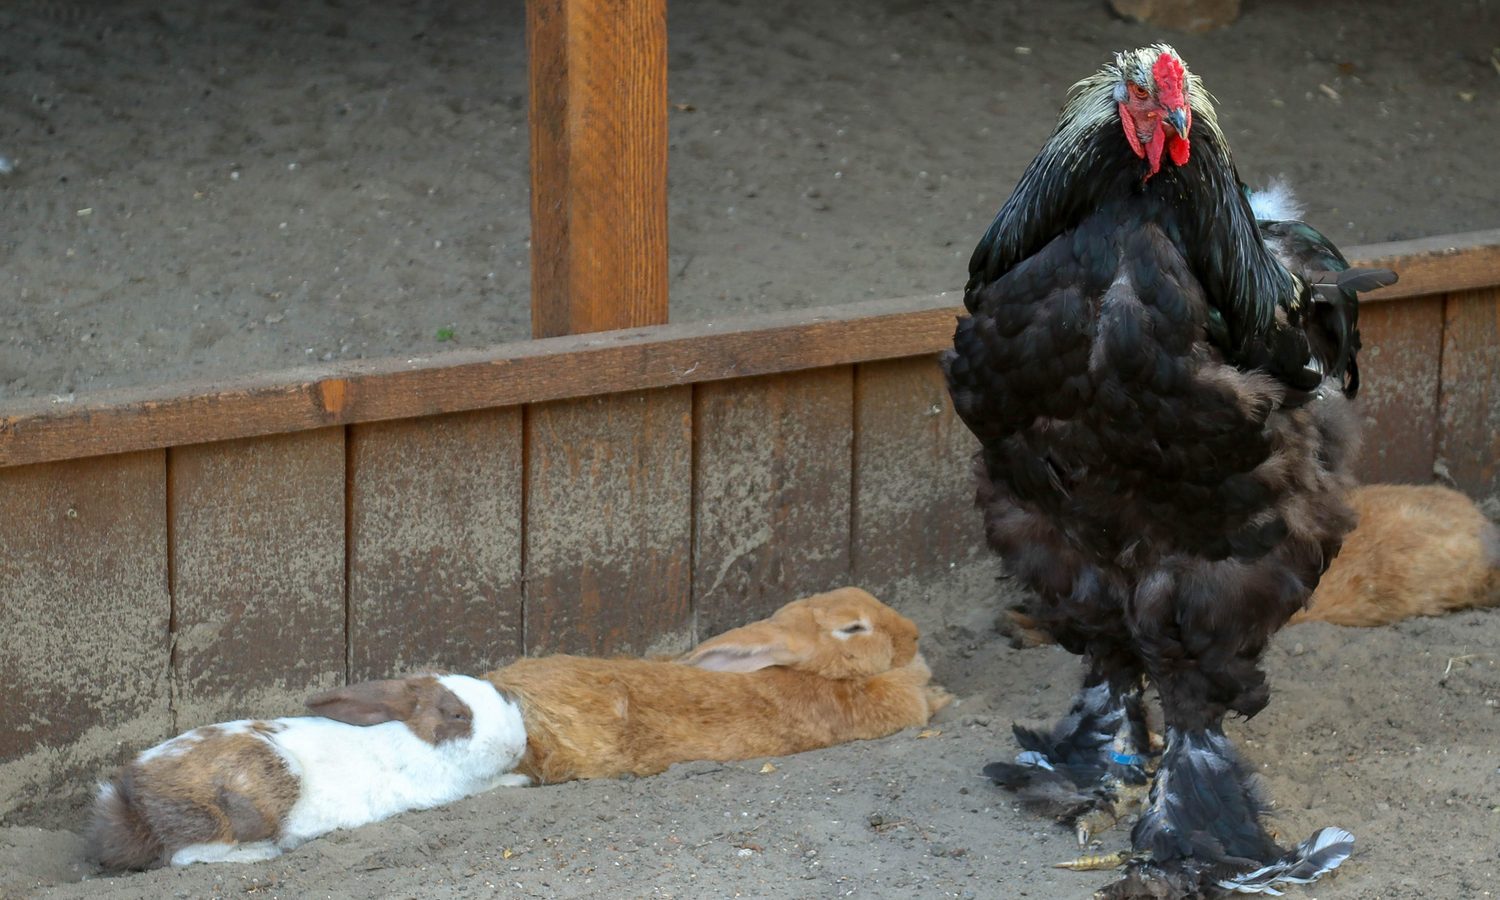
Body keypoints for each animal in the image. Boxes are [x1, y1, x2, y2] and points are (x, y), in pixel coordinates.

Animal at [92, 675, 528, 870]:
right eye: (457, 715)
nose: (517, 745)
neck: (411, 737)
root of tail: (130, 803)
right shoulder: (447, 788)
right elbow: (488, 785)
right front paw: (522, 780)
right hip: (248, 801)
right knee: (187, 855)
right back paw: (266, 851)